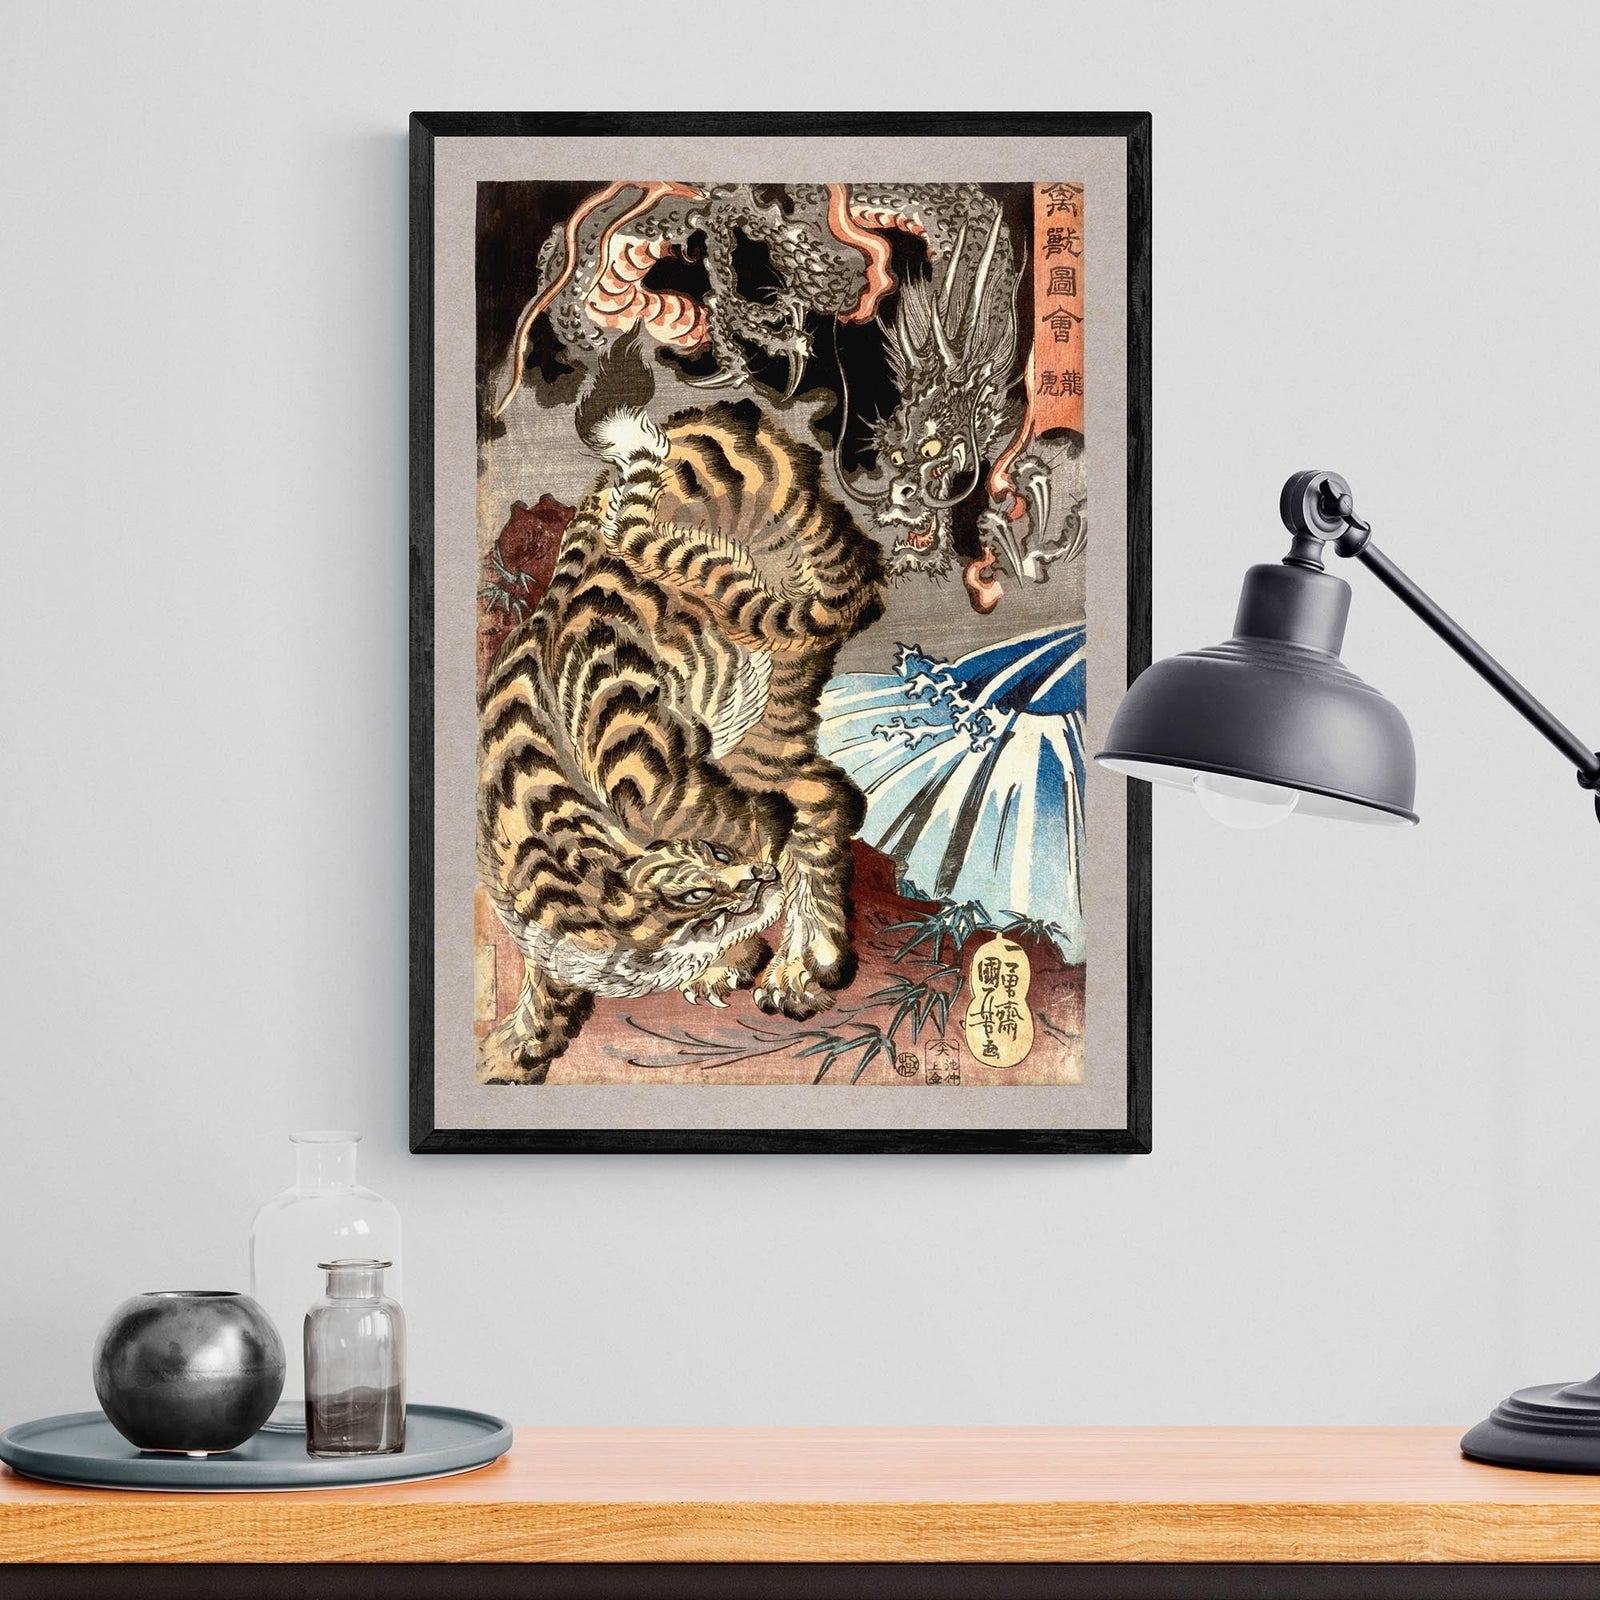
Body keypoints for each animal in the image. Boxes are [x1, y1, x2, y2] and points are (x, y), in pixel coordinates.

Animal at [476, 336, 887, 1084]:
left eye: (712, 873)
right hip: (769, 706)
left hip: (694, 732)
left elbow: (754, 836)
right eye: (693, 896)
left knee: (814, 802)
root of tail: (724, 434)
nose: (750, 880)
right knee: (821, 792)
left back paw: (803, 962)